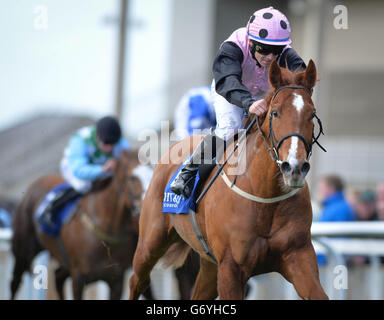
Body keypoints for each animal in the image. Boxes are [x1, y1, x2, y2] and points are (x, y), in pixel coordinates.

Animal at [10, 150, 155, 300]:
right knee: (15, 282)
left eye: (152, 173)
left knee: (58, 277)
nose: (149, 207)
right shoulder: (78, 276)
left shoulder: (116, 279)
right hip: (23, 252)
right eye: (132, 178)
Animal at [128, 60, 328, 300]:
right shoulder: (230, 266)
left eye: (312, 114)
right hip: (150, 243)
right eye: (275, 112)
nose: (294, 167)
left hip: (209, 264)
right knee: (137, 281)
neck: (265, 196)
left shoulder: (298, 255)